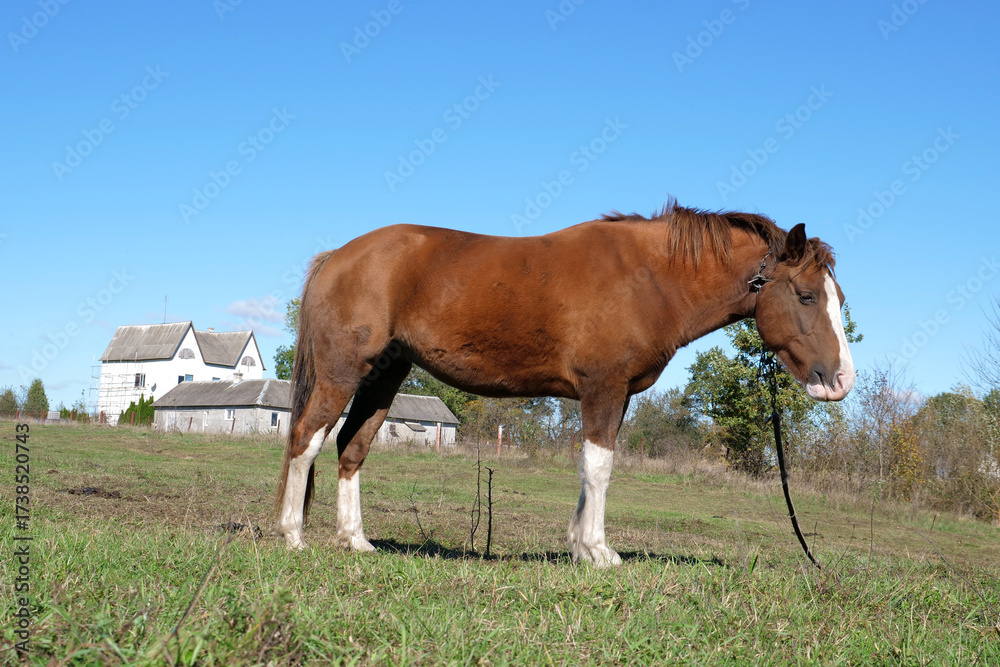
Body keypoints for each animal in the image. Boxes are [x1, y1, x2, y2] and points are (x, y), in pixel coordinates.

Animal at [274, 200, 855, 566]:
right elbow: (599, 469)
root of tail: (337, 257)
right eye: (806, 296)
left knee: (351, 448)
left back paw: (355, 541)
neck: (650, 278)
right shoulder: (603, 389)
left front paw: (579, 546)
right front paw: (599, 552)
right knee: (305, 440)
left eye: (839, 298)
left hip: (384, 378)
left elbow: (593, 468)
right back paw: (293, 536)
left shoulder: (614, 397)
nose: (840, 380)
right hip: (342, 373)